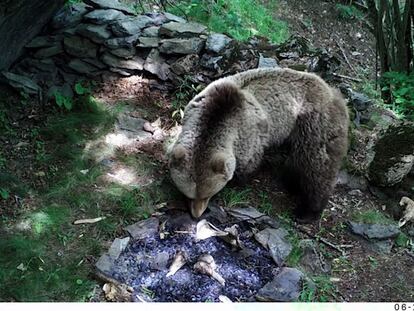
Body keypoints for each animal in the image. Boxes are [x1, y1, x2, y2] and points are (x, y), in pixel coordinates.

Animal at [168, 69, 350, 224]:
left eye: (208, 194)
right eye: (189, 195)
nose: (196, 214)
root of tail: (332, 91)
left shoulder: (248, 136)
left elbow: (247, 164)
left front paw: (238, 181)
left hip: (314, 124)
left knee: (316, 166)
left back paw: (307, 211)